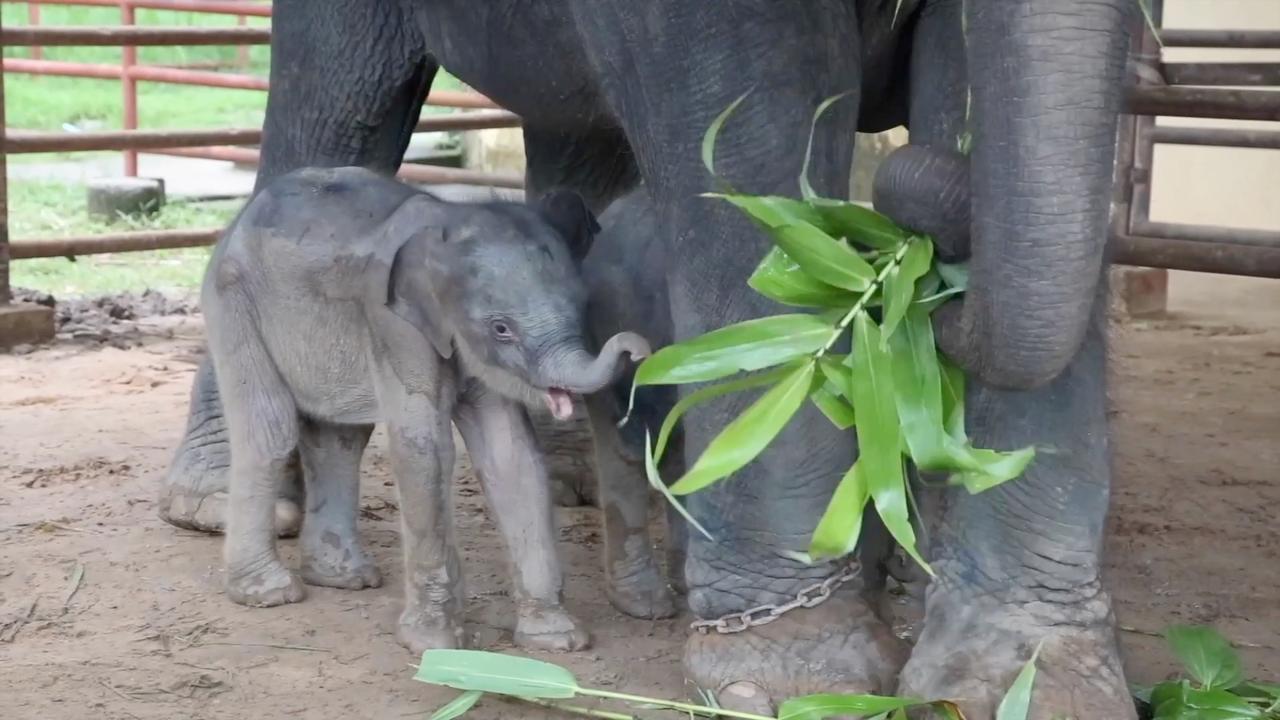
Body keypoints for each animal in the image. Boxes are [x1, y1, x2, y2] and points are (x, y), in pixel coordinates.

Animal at [200, 166, 650, 650]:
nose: (638, 349)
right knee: (271, 430)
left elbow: (511, 455)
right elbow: (424, 450)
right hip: (234, 302)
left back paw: (345, 578)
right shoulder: (395, 325)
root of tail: (240, 217)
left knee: (340, 436)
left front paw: (557, 639)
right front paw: (434, 644)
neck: (449, 221)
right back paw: (270, 592)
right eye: (501, 328)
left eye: (582, 307)